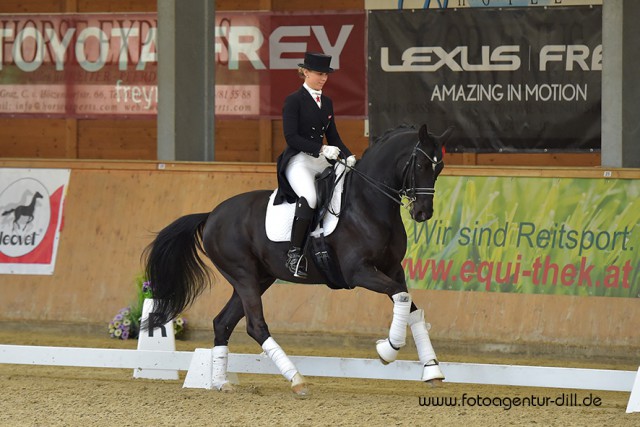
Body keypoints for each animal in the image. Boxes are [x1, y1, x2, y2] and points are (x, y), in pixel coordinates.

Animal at [145, 123, 456, 394]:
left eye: (439, 168)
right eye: (420, 165)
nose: (423, 213)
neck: (368, 203)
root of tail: (211, 215)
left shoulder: (392, 268)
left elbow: (412, 307)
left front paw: (432, 370)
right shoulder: (359, 272)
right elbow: (401, 297)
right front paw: (387, 349)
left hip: (259, 278)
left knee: (223, 322)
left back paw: (222, 383)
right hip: (244, 276)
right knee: (255, 325)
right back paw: (296, 379)